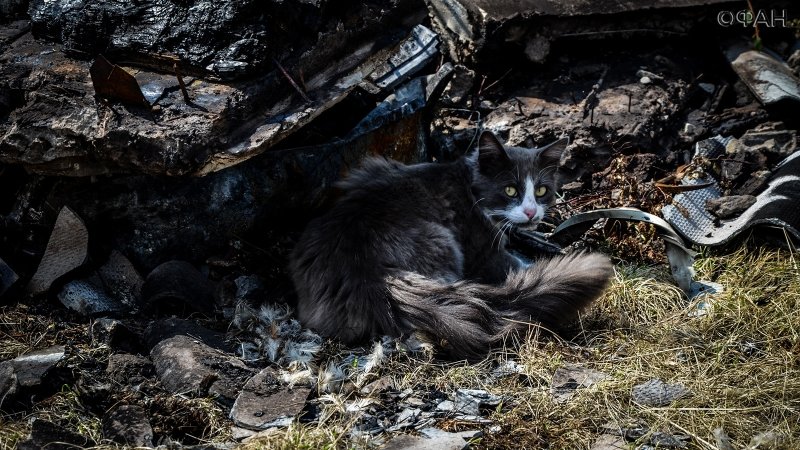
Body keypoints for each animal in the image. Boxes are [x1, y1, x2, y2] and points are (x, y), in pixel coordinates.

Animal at [290, 129, 612, 358]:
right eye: (510, 190)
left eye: (543, 190)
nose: (532, 212)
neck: (469, 185)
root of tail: (366, 273)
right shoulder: (487, 253)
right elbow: (519, 262)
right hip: (442, 239)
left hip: (370, 168)